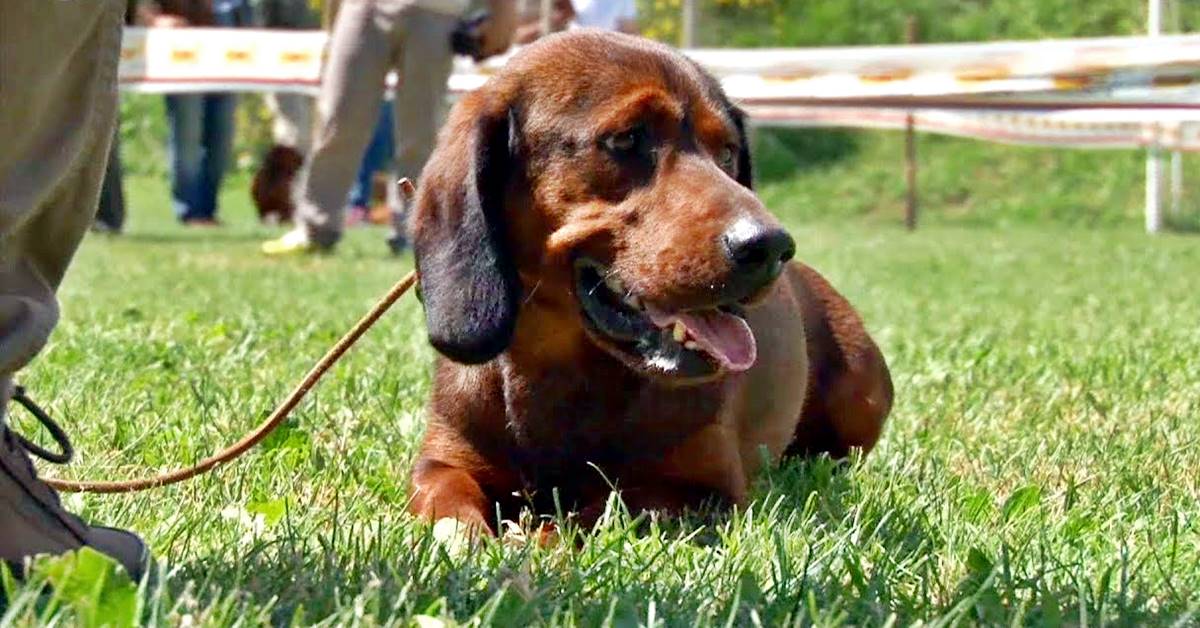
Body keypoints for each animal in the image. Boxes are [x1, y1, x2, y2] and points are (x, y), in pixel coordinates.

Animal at [403, 28, 892, 530]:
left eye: (728, 151)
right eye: (626, 139)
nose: (772, 246)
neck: (560, 372)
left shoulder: (700, 493)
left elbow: (592, 518)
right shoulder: (443, 461)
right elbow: (449, 506)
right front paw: (466, 535)